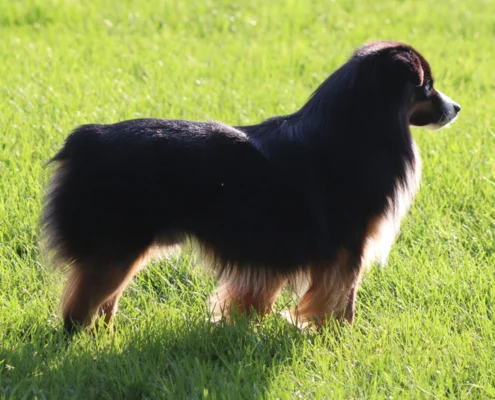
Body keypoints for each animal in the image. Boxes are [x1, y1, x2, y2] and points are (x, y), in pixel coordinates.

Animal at [41, 40, 462, 334]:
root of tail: (87, 139)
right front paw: (339, 337)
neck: (360, 126)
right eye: (427, 87)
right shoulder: (346, 249)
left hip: (120, 252)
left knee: (102, 303)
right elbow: (344, 300)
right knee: (79, 309)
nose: (457, 108)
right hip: (116, 248)